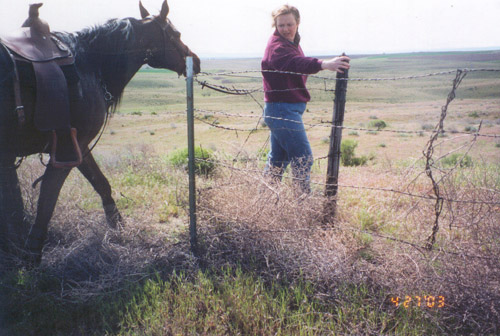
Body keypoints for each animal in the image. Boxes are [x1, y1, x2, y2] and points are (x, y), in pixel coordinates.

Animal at [0, 0, 199, 262]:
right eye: (176, 34)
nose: (196, 60)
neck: (88, 65)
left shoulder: (79, 146)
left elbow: (101, 184)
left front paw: (117, 225)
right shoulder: (67, 149)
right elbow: (47, 198)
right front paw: (32, 251)